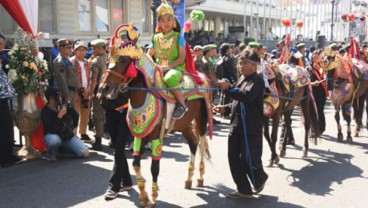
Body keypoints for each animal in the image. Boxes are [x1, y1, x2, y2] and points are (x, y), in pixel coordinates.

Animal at [96, 23, 213, 207]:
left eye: (123, 60)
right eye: (108, 60)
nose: (103, 88)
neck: (144, 97)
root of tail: (202, 77)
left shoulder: (158, 137)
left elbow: (154, 168)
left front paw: (153, 197)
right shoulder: (139, 136)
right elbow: (136, 164)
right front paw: (144, 196)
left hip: (201, 120)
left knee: (201, 144)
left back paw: (200, 177)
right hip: (184, 124)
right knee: (193, 144)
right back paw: (189, 179)